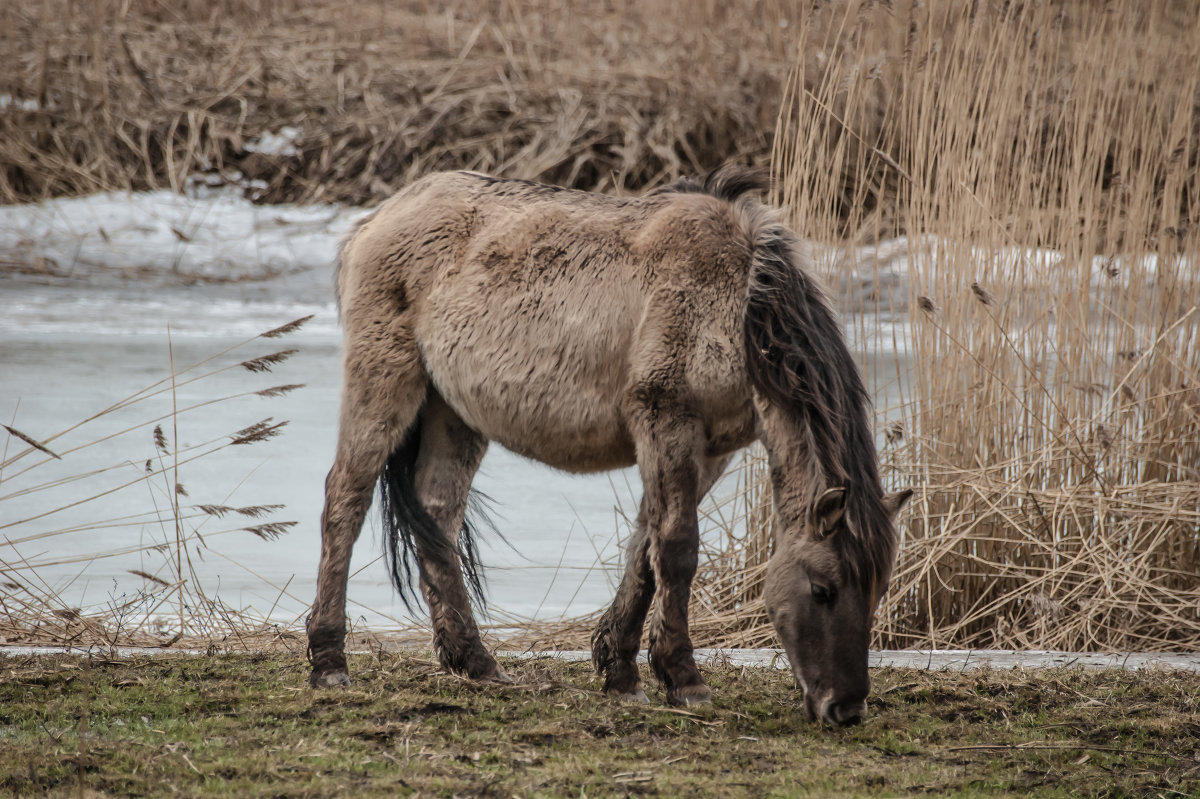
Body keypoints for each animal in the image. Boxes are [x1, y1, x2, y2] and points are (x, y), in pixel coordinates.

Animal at [307, 164, 907, 724]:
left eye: (878, 588)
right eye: (823, 589)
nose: (845, 709)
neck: (736, 302)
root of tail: (375, 221)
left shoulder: (711, 448)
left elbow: (645, 547)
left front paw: (620, 671)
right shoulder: (667, 422)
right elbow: (677, 548)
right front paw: (684, 679)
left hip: (452, 411)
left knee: (437, 515)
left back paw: (475, 661)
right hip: (385, 382)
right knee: (345, 501)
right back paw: (329, 661)